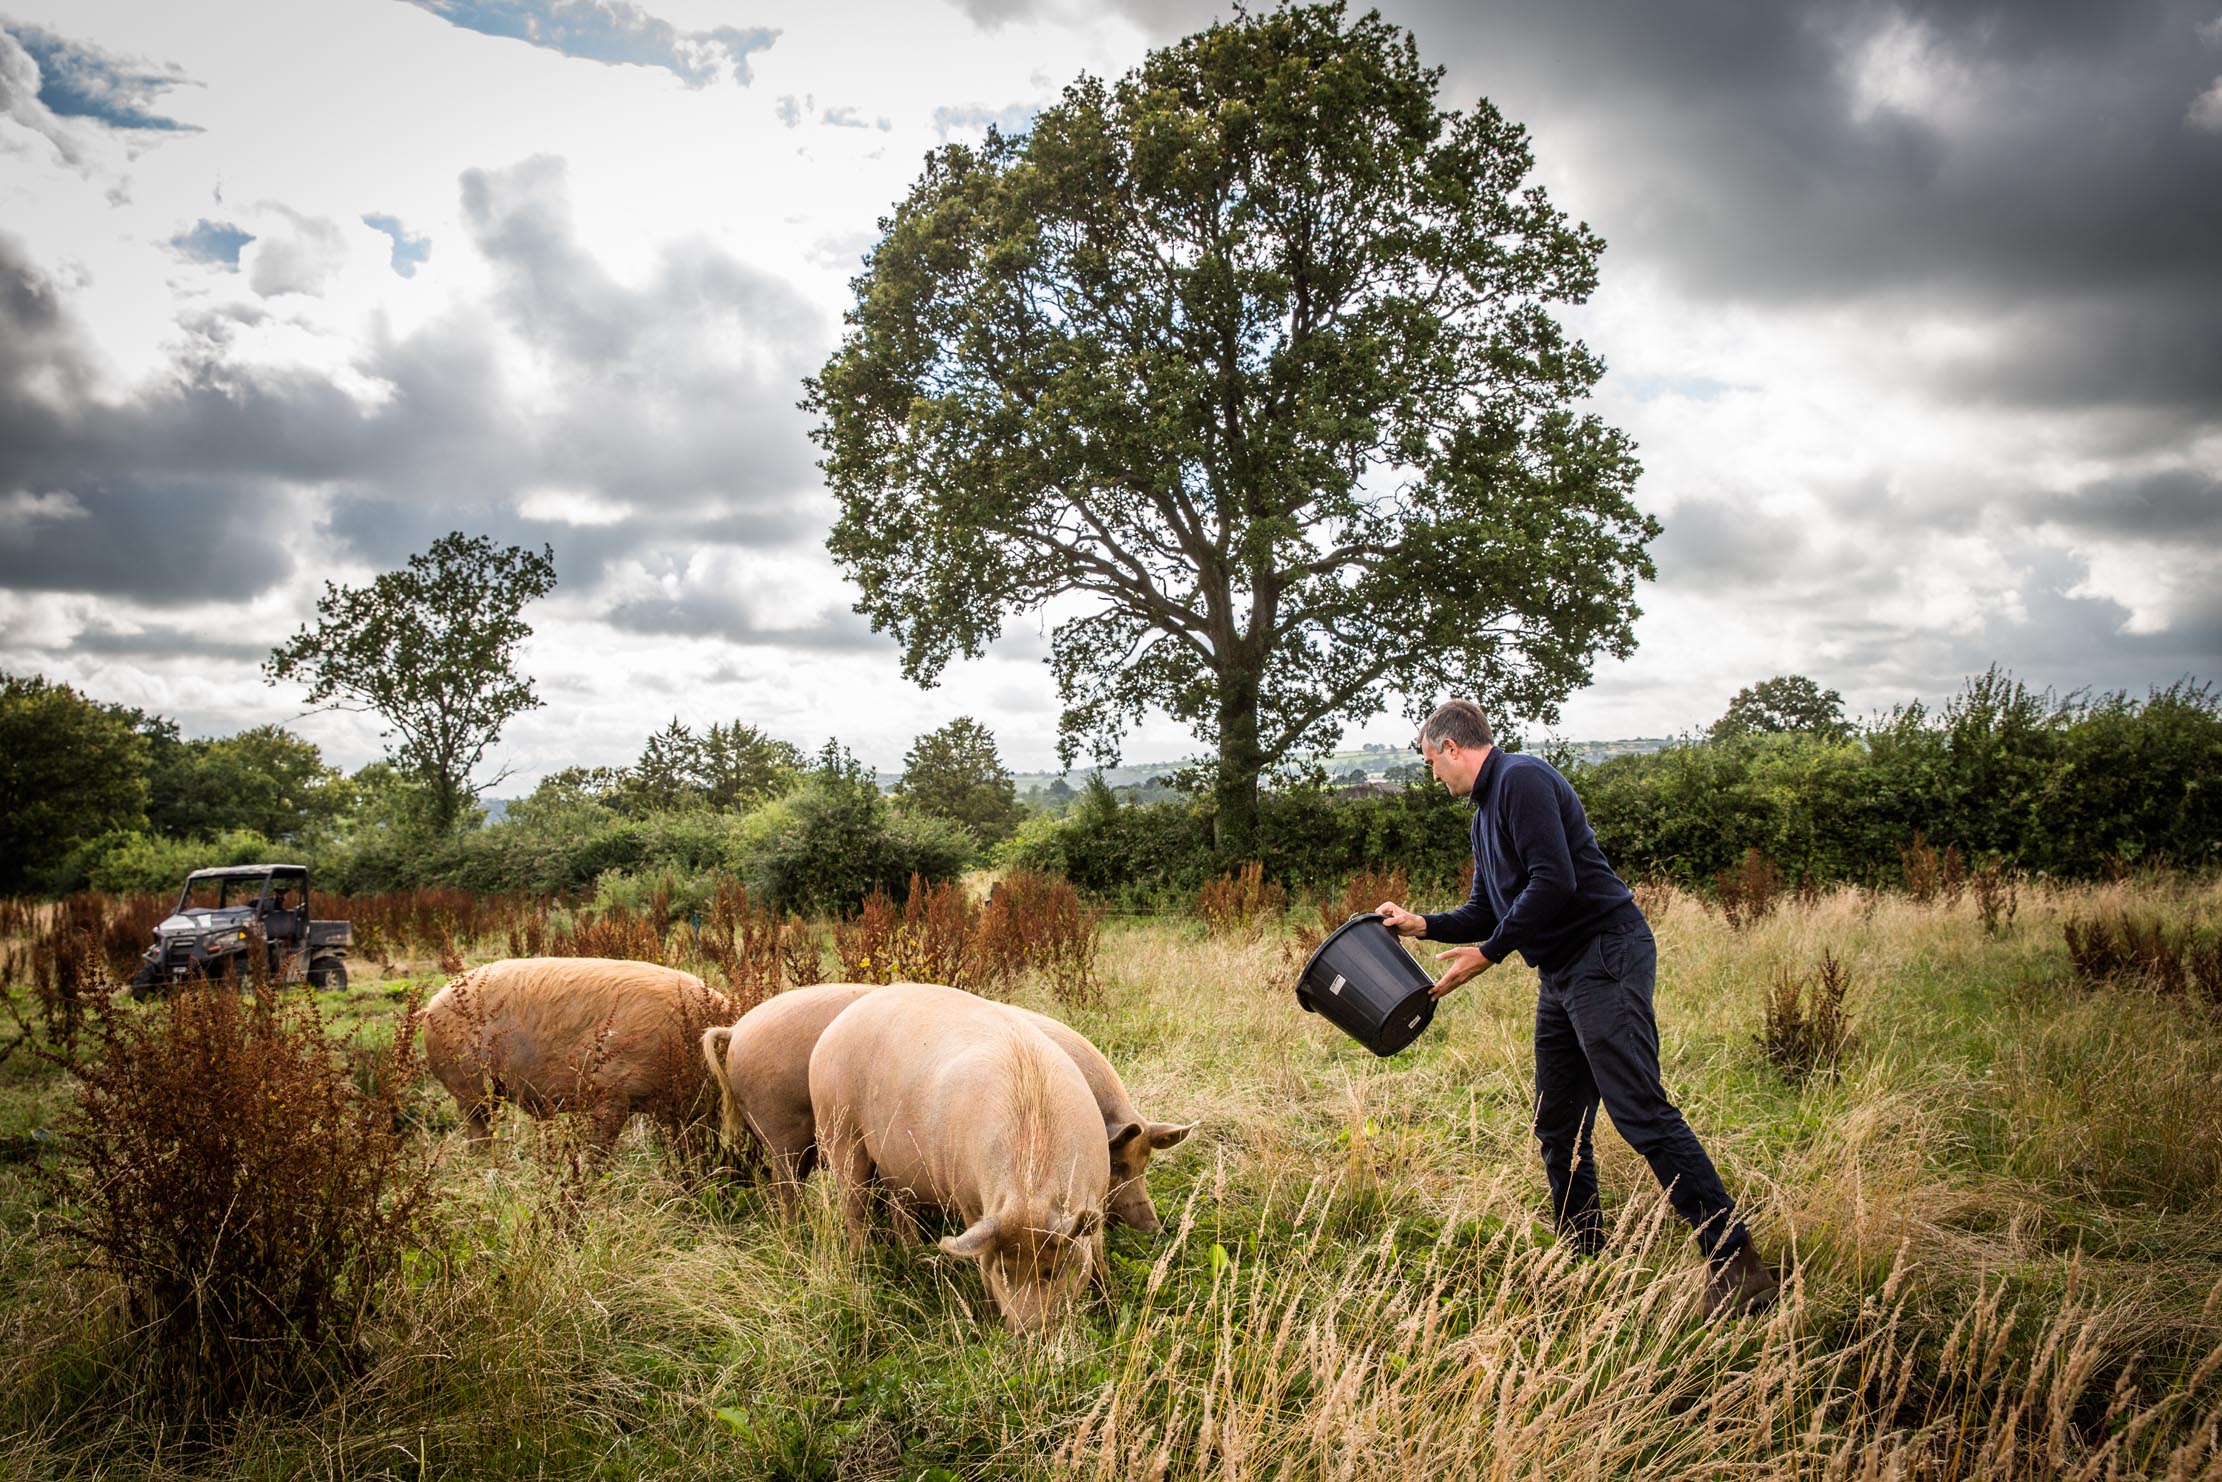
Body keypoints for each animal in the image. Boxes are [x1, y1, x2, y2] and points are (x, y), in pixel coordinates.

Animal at [706, 986, 1199, 1226]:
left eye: (1147, 1164)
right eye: (1119, 1166)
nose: (1153, 1226)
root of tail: (738, 1029)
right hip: (781, 1128)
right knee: (785, 1187)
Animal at [808, 986, 1102, 1333]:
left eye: (1053, 1271)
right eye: (1002, 1270)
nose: (1023, 1331)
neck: (1029, 1191)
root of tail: (830, 1032)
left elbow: (1099, 1252)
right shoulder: (968, 1198)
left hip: (895, 1164)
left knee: (897, 1207)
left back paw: (915, 1256)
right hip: (838, 1127)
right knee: (854, 1203)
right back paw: (863, 1262)